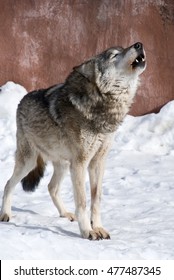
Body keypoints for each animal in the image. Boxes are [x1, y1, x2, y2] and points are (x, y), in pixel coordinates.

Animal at [0, 42, 146, 240]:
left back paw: (65, 214)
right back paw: (6, 214)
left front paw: (98, 227)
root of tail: (22, 100)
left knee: (51, 187)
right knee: (8, 184)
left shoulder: (97, 162)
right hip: (29, 162)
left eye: (123, 49)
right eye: (114, 55)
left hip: (62, 165)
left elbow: (96, 200)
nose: (139, 44)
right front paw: (87, 231)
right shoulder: (80, 163)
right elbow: (83, 201)